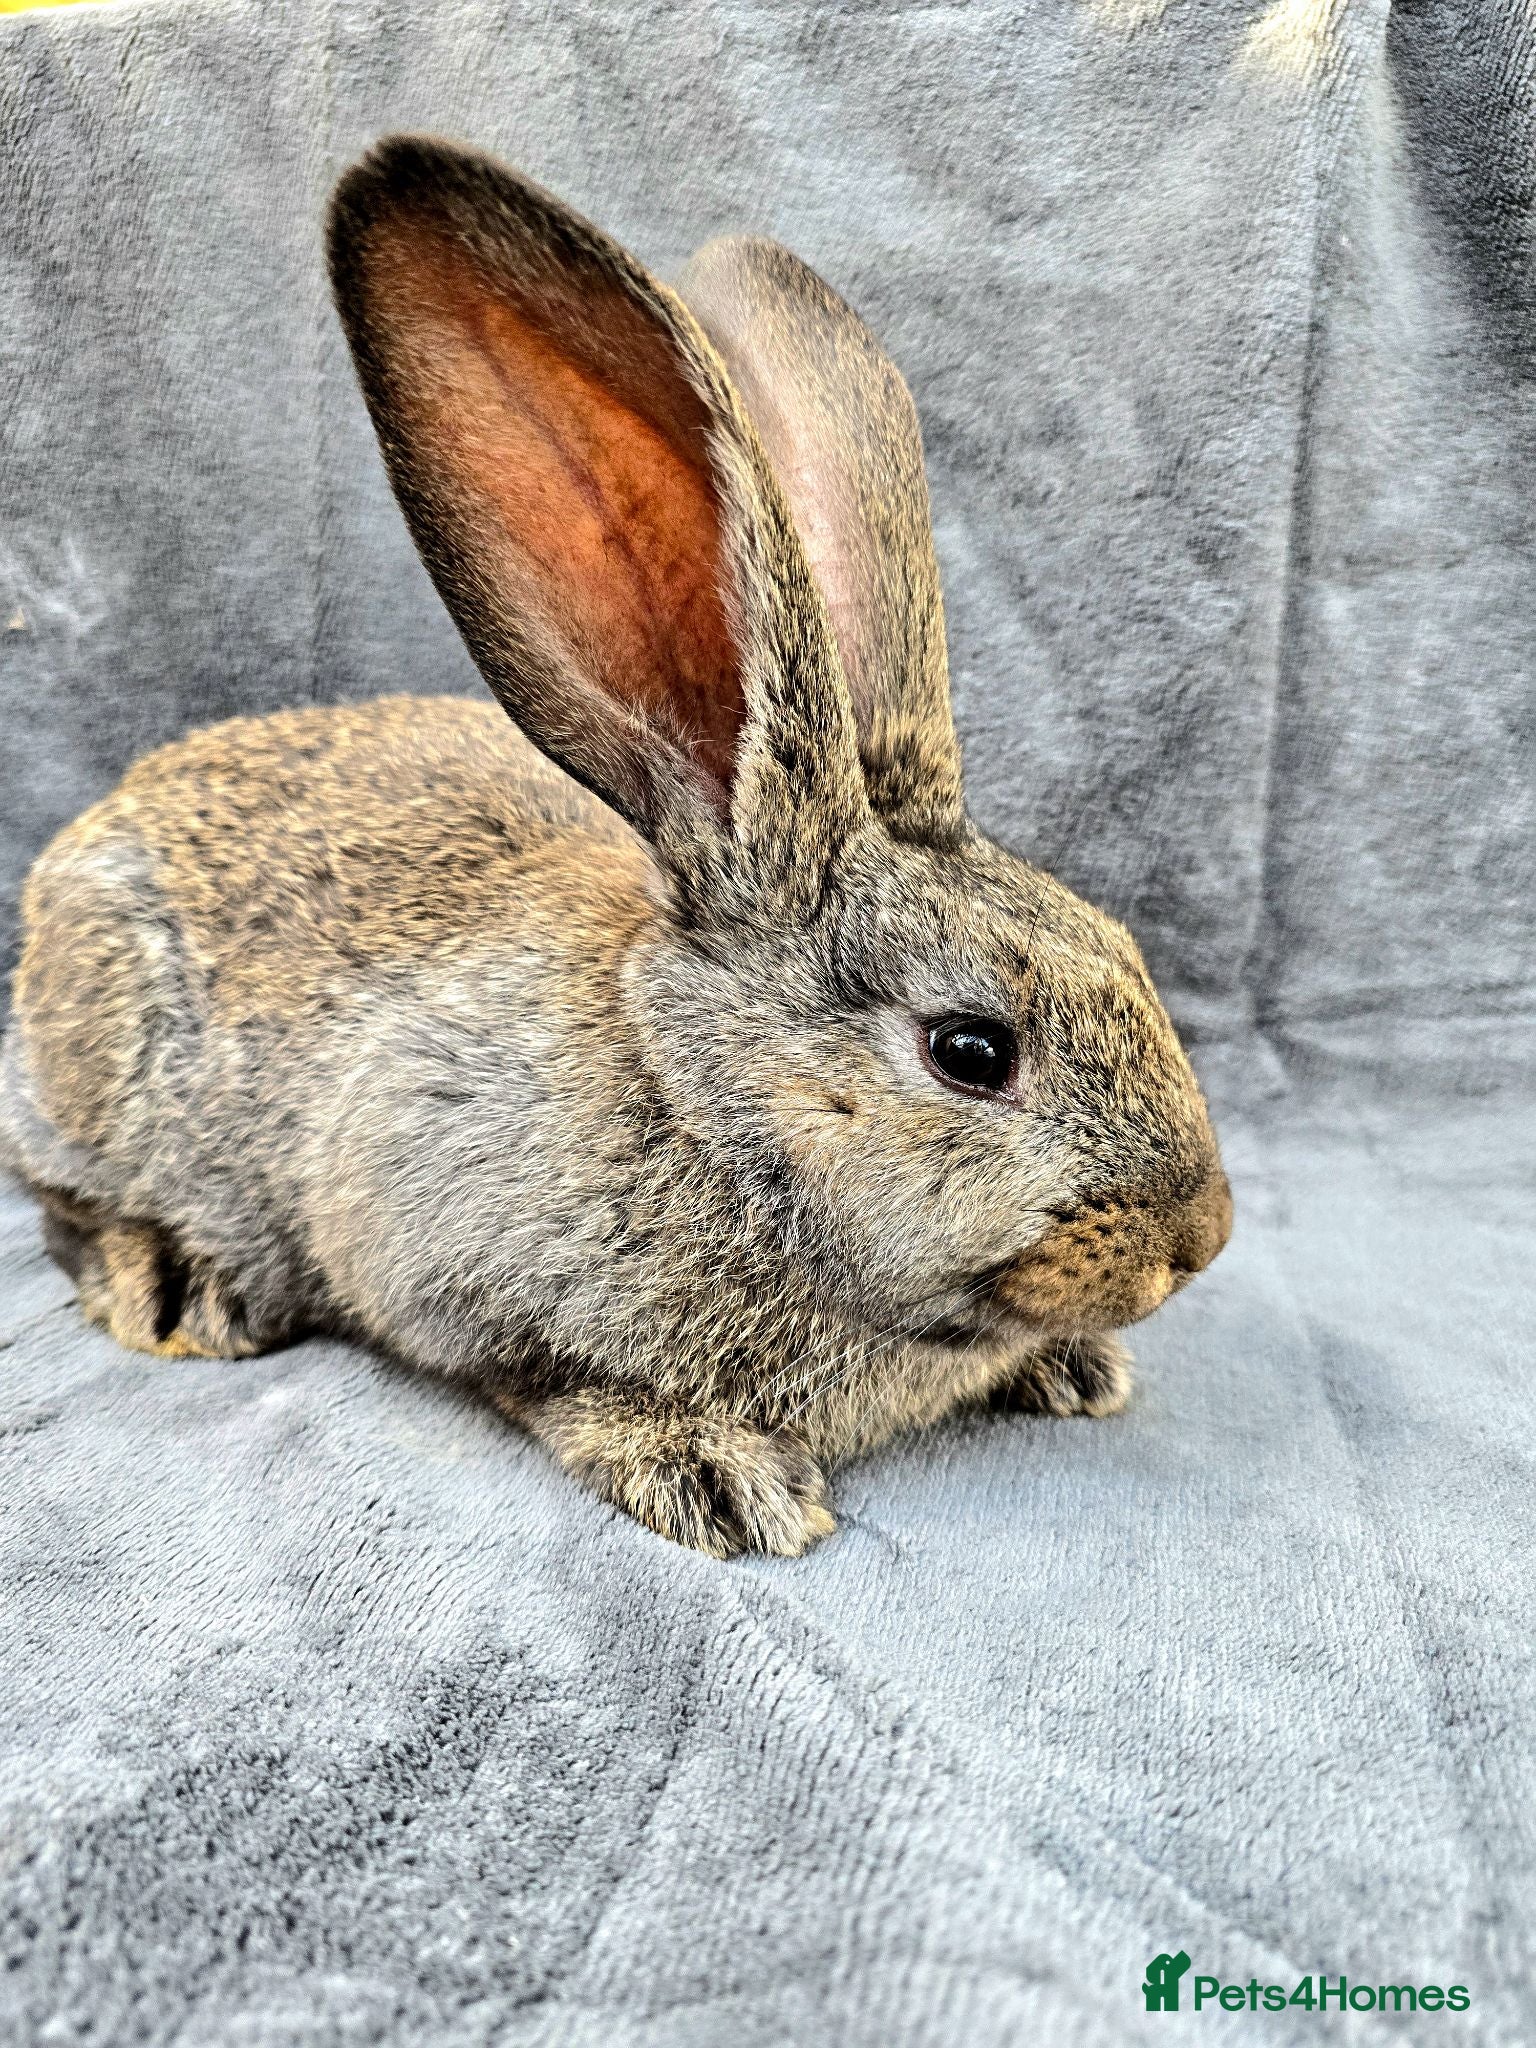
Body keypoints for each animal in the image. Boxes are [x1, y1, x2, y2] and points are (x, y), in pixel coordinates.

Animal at [0, 135, 1231, 1559]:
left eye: (1126, 951)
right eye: (971, 1050)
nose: (1203, 1233)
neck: (700, 1105)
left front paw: (1070, 1366)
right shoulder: (437, 1237)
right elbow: (546, 1375)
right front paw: (714, 1471)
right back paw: (179, 1285)